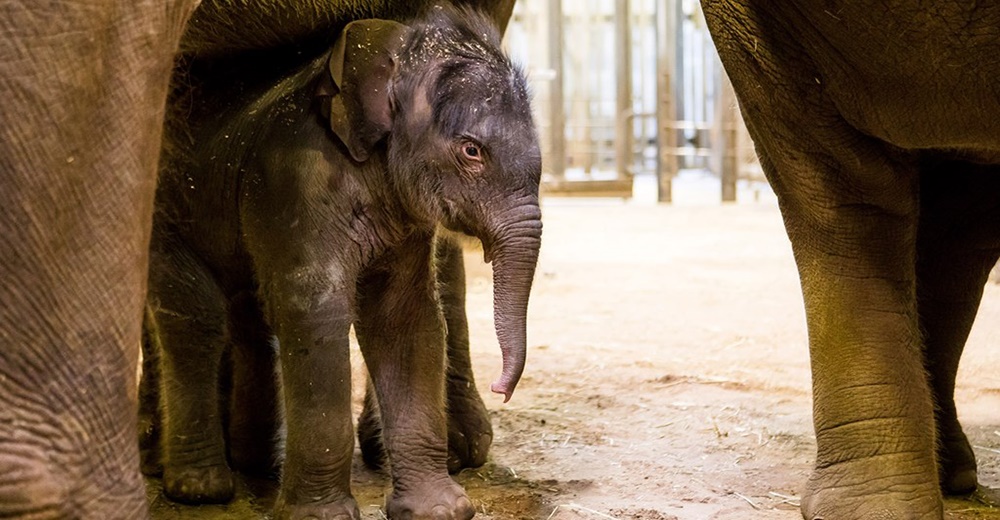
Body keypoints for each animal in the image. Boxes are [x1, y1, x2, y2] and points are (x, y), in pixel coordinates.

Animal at [146, 4, 544, 520]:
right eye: (471, 150)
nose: (502, 388)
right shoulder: (296, 185)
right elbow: (316, 312)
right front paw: (321, 516)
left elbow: (404, 318)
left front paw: (440, 511)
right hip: (167, 219)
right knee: (194, 319)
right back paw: (200, 488)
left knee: (245, 314)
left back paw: (254, 465)